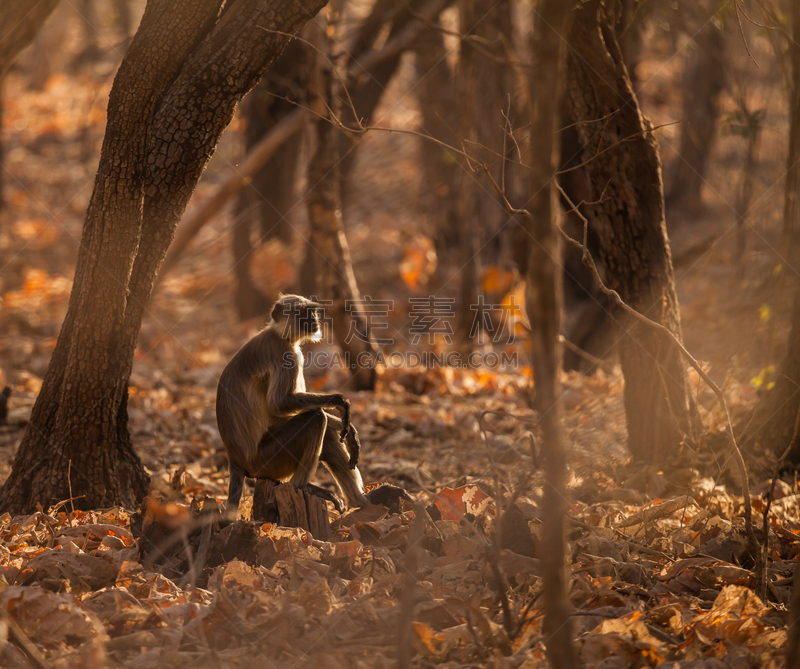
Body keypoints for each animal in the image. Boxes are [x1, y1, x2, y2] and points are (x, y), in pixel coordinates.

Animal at [217, 294, 370, 512]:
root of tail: (235, 460)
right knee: (315, 418)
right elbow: (278, 404)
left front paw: (348, 429)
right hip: (268, 460)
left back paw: (363, 503)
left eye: (312, 311)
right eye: (303, 312)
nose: (315, 320)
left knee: (326, 432)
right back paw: (302, 487)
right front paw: (339, 401)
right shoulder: (284, 353)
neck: (279, 335)